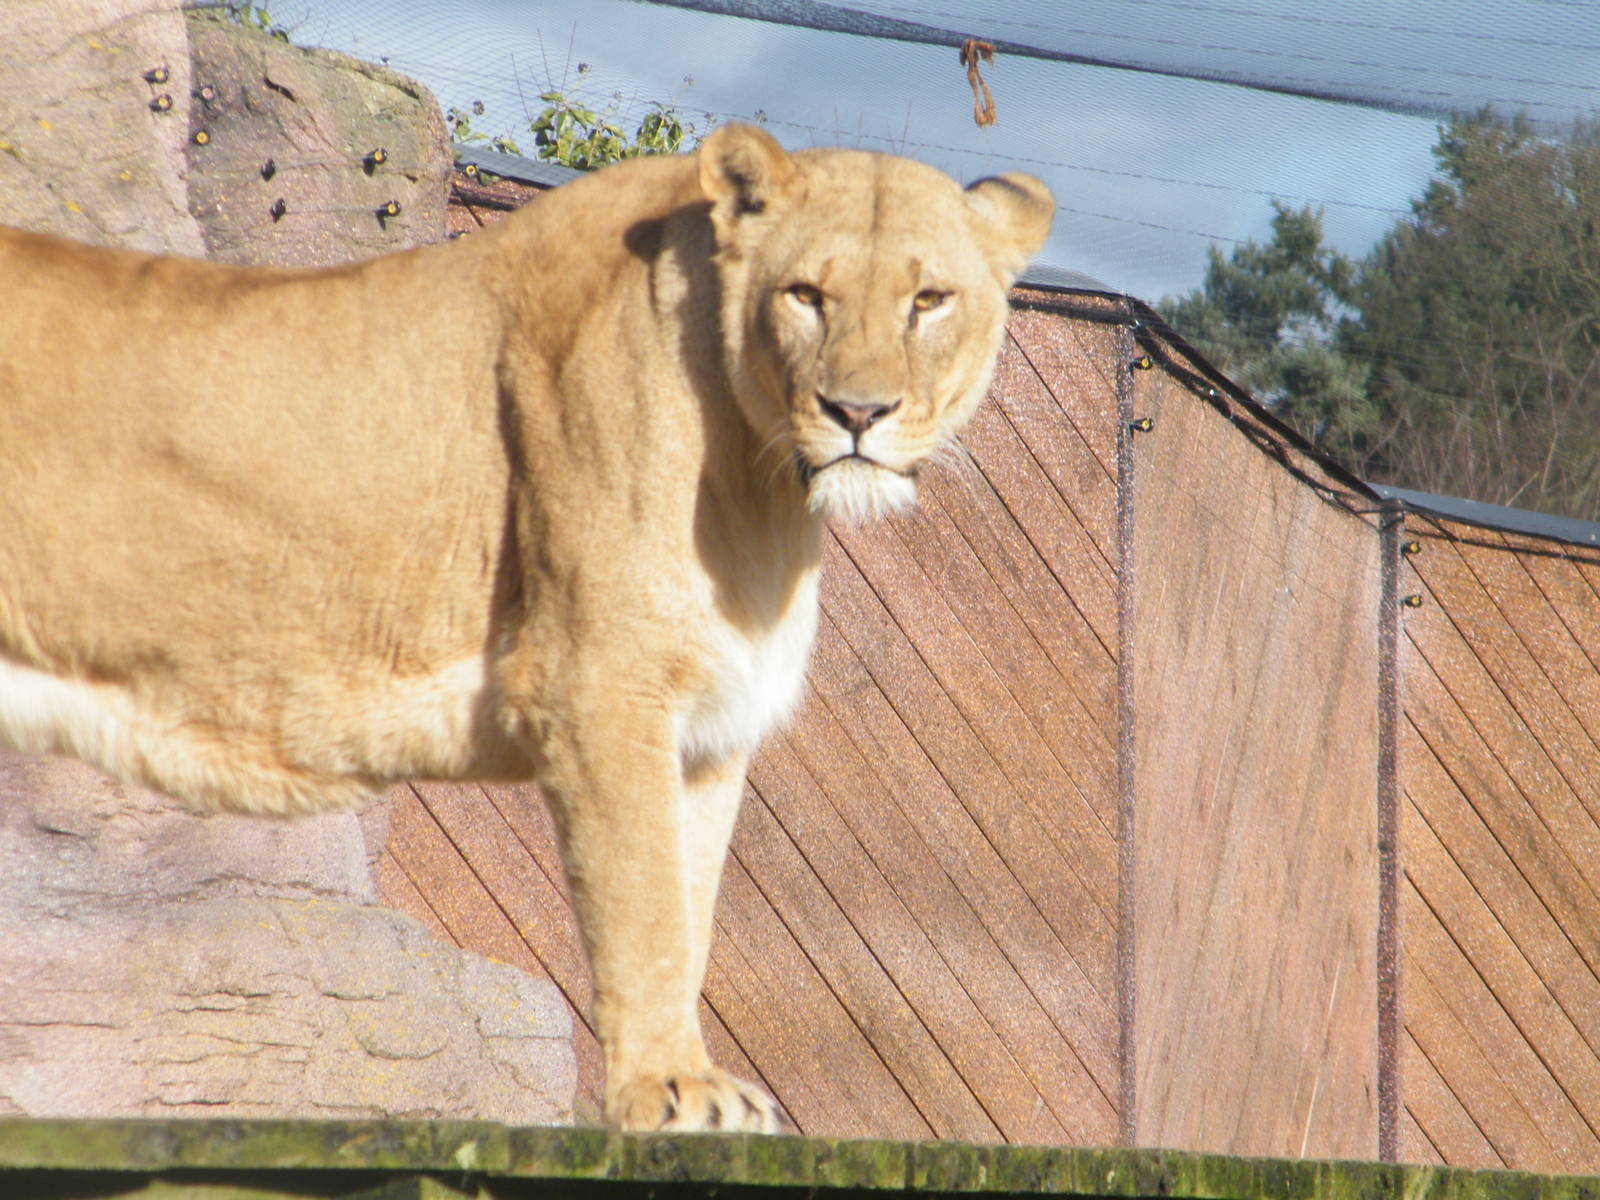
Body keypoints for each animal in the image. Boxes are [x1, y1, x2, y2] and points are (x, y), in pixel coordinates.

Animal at [0, 123, 1052, 1132]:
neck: (763, 487)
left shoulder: (711, 729)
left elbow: (693, 908)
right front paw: (671, 1092)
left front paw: (687, 1080)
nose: (857, 412)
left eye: (929, 300)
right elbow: (646, 905)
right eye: (805, 295)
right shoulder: (598, 684)